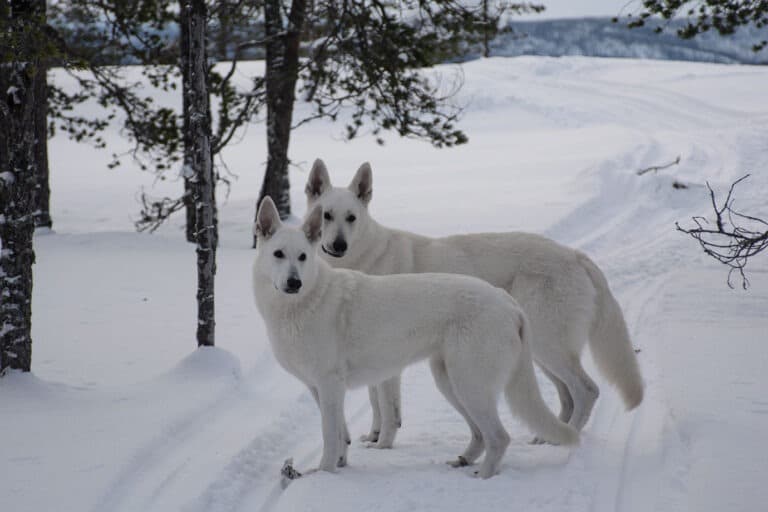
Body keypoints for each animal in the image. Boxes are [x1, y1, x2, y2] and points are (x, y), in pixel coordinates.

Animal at [252, 197, 576, 480]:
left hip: (470, 385)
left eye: (303, 257)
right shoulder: (319, 389)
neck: (303, 302)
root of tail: (509, 303)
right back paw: (463, 461)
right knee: (480, 434)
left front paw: (325, 475)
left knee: (499, 437)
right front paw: (339, 466)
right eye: (278, 254)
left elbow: (330, 436)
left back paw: (482, 476)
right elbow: (341, 434)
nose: (294, 282)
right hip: (450, 382)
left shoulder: (330, 386)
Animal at [306, 158, 640, 446]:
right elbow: (376, 403)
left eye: (351, 218)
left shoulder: (389, 361)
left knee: (586, 391)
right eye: (326, 216)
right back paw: (547, 437)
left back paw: (568, 438)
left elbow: (387, 409)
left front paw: (383, 444)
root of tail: (574, 254)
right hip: (541, 354)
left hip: (549, 347)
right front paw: (373, 437)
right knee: (566, 396)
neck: (363, 258)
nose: (338, 245)